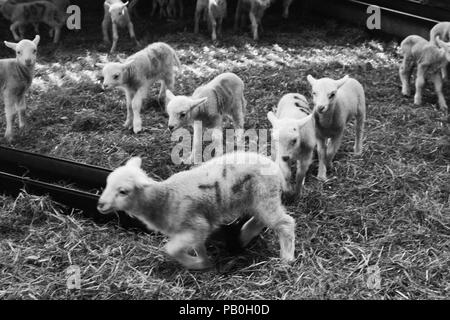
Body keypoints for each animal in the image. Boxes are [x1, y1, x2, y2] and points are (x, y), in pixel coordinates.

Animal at [96, 152, 298, 270]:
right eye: (107, 183)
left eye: (123, 191)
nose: (100, 205)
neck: (166, 199)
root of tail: (275, 168)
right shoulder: (196, 229)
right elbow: (198, 246)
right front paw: (204, 262)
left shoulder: (195, 225)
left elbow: (170, 249)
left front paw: (195, 264)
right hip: (256, 200)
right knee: (260, 220)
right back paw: (244, 236)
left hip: (265, 196)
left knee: (285, 223)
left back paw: (287, 258)